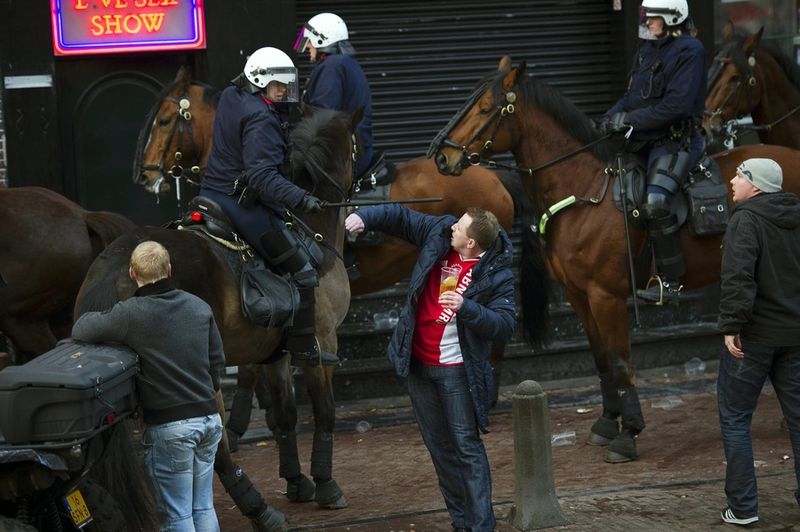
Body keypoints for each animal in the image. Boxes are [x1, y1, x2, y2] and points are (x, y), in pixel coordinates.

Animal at [76, 106, 362, 528]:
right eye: (356, 146)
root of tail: (116, 267)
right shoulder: (323, 342)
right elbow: (325, 411)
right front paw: (326, 484)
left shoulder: (275, 354)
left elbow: (286, 416)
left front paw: (297, 480)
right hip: (198, 374)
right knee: (216, 447)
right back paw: (259, 511)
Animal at [432, 53, 800, 462]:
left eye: (485, 107)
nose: (442, 155)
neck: (584, 189)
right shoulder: (579, 295)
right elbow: (602, 358)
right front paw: (608, 422)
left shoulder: (605, 295)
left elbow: (622, 362)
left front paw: (629, 433)